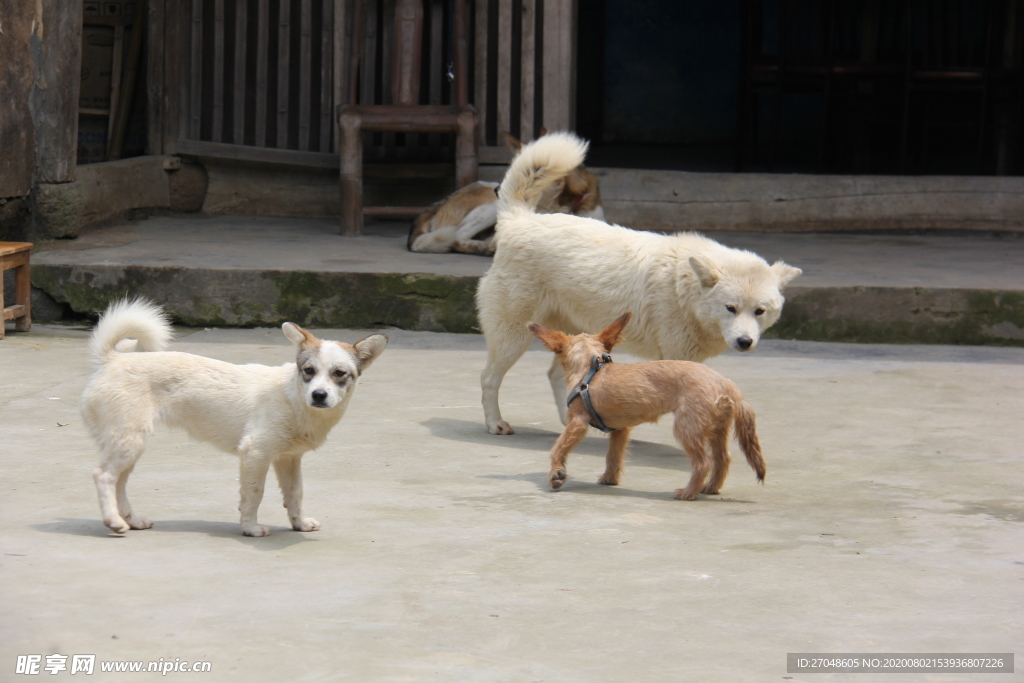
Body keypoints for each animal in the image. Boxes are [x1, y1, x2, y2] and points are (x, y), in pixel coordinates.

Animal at [475, 133, 802, 432]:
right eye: (730, 308)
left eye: (759, 311)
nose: (745, 342)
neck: (686, 291)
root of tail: (519, 220)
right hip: (513, 336)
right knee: (489, 378)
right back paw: (495, 423)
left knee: (557, 376)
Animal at [532, 313, 765, 499]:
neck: (591, 367)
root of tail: (724, 382)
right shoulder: (621, 430)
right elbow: (613, 456)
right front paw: (610, 478)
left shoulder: (577, 423)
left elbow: (558, 447)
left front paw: (556, 474)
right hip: (717, 428)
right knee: (722, 459)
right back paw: (710, 488)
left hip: (687, 428)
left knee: (703, 463)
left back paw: (688, 493)